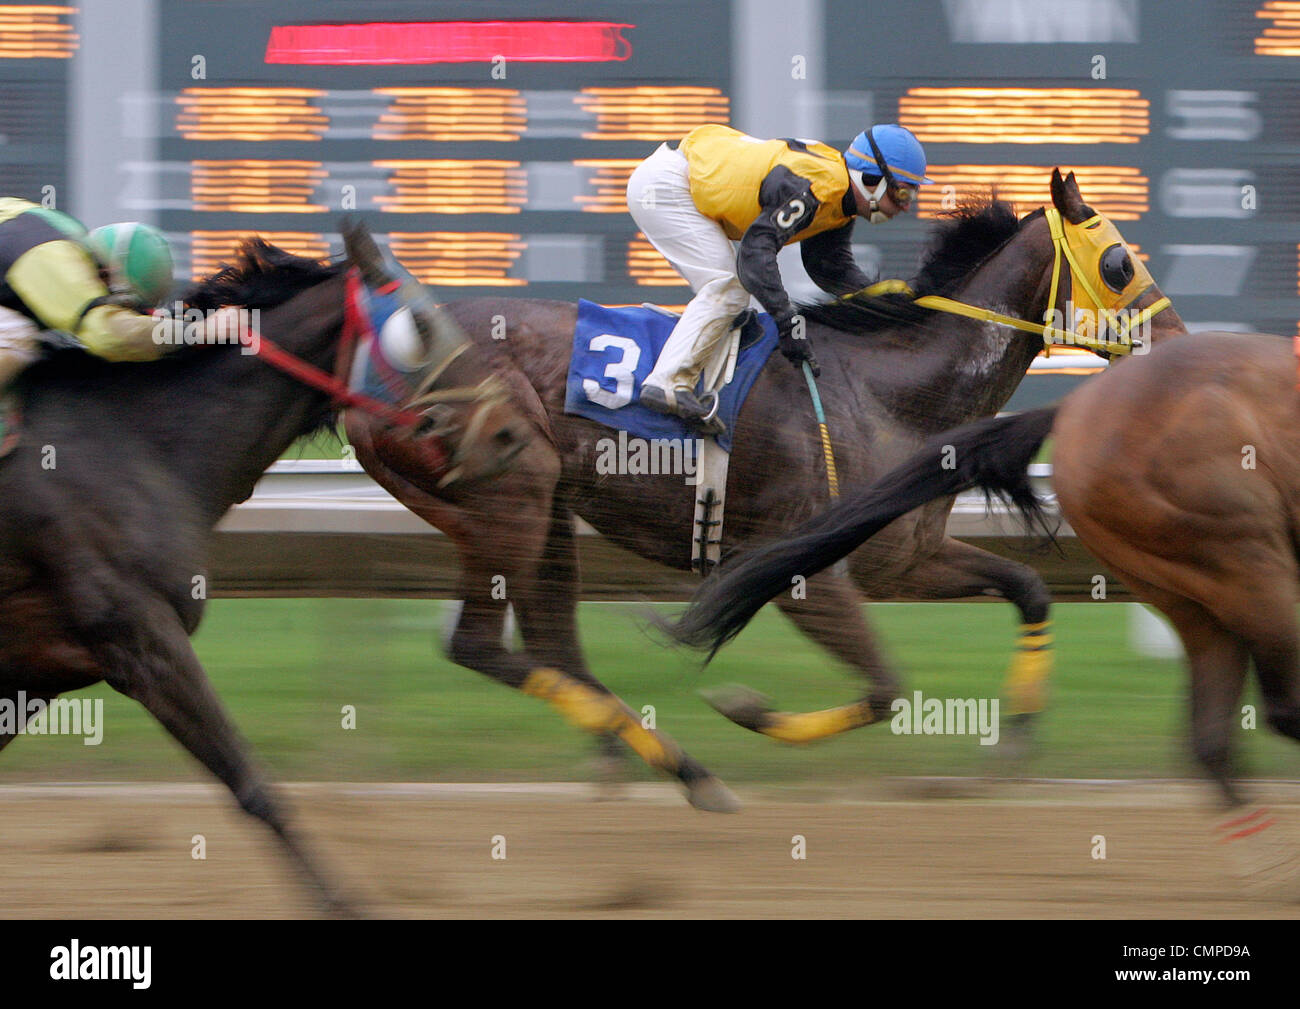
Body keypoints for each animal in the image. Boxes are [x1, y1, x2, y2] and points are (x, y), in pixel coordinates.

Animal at [351, 171, 1185, 806]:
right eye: (1119, 261)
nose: (1177, 342)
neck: (889, 395)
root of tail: (377, 357)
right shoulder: (802, 570)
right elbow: (884, 688)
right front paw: (747, 708)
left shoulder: (905, 559)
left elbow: (1027, 589)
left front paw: (1015, 741)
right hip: (506, 494)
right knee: (487, 644)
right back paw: (677, 767)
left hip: (544, 507)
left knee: (554, 646)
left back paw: (642, 761)